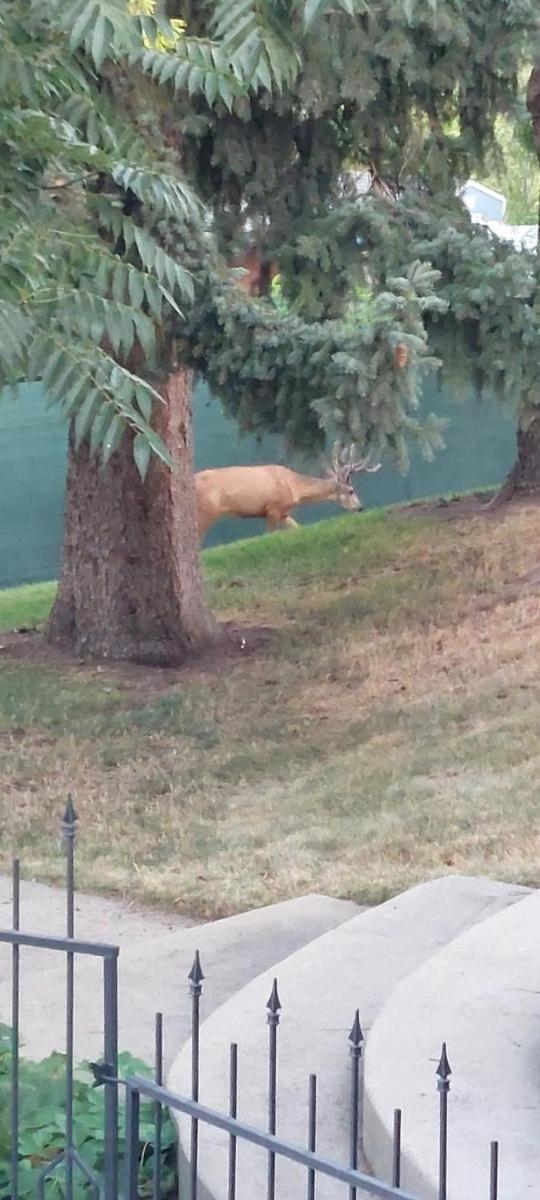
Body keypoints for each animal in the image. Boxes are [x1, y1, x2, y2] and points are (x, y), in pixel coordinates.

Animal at [194, 444, 379, 542]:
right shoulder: (273, 508)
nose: (361, 507)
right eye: (351, 491)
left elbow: (297, 528)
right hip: (206, 510)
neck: (295, 486)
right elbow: (269, 535)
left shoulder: (284, 513)